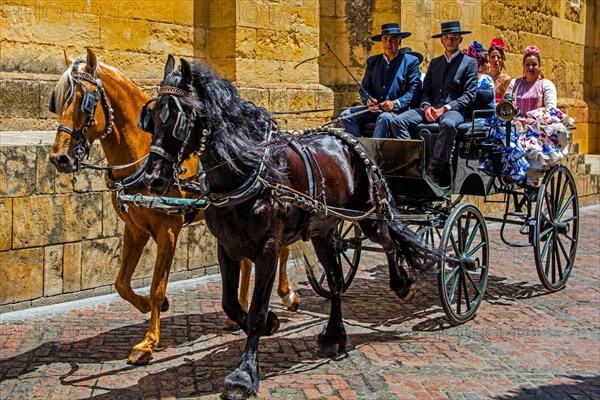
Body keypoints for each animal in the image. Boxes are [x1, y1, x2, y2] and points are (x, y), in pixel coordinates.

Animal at [46, 49, 298, 366]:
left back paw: (288, 295)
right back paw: (237, 311)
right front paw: (149, 307)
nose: (59, 158)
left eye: (84, 101)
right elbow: (121, 284)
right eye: (58, 101)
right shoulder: (135, 229)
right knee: (248, 261)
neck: (143, 156)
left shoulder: (168, 230)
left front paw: (147, 343)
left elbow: (157, 286)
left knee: (283, 250)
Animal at [143, 57, 436, 400]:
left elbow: (256, 311)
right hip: (324, 231)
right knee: (336, 281)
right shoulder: (226, 247)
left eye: (179, 119)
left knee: (389, 241)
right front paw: (271, 323)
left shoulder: (268, 251)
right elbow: (230, 303)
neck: (249, 170)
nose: (152, 179)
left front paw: (244, 375)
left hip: (370, 215)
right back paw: (334, 336)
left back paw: (403, 282)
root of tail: (348, 139)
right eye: (151, 118)